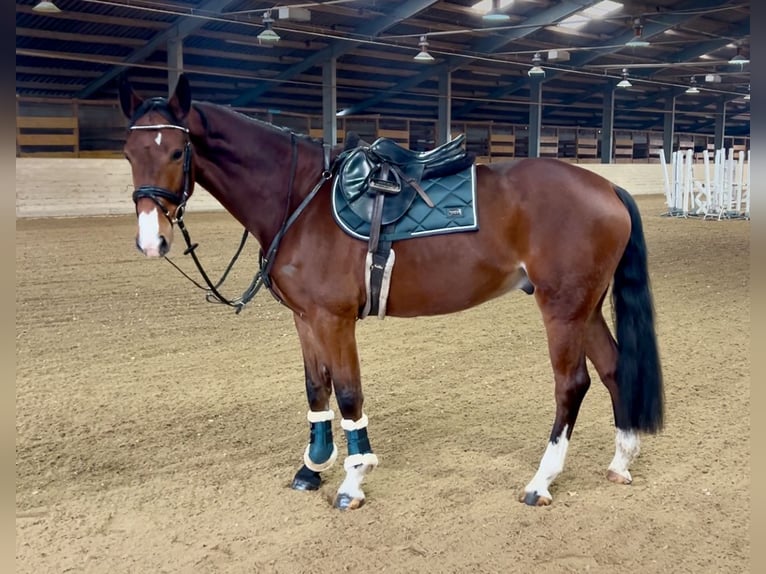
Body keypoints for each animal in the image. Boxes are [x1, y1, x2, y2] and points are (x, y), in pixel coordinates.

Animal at [117, 74, 664, 510]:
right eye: (129, 153)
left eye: (176, 151)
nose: (150, 240)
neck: (301, 198)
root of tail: (608, 188)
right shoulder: (305, 317)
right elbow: (316, 388)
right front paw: (313, 467)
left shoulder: (333, 318)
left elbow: (348, 392)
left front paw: (352, 480)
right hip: (586, 306)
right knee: (614, 368)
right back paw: (620, 461)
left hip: (563, 306)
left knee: (572, 384)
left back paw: (541, 481)